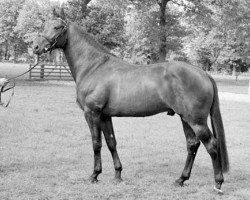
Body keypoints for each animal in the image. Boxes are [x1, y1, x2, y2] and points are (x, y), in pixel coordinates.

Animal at [32, 8, 229, 195]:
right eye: (44, 25)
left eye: (57, 27)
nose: (35, 47)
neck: (94, 67)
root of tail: (203, 73)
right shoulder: (105, 116)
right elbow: (111, 142)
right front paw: (117, 175)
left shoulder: (92, 113)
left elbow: (96, 144)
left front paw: (94, 175)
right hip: (185, 118)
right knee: (192, 145)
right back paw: (181, 179)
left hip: (196, 121)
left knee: (212, 145)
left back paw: (218, 184)